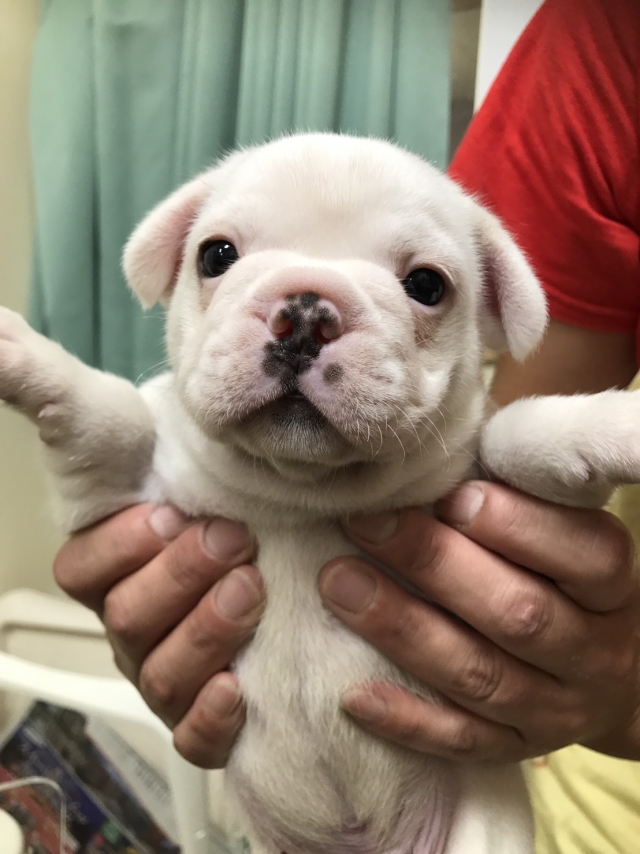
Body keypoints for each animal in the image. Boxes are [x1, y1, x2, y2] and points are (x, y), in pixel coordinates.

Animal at [2, 133, 640, 854]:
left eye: (427, 285)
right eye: (215, 255)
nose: (306, 309)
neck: (301, 494)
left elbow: (516, 435)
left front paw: (619, 425)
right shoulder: (115, 490)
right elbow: (110, 418)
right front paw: (21, 350)